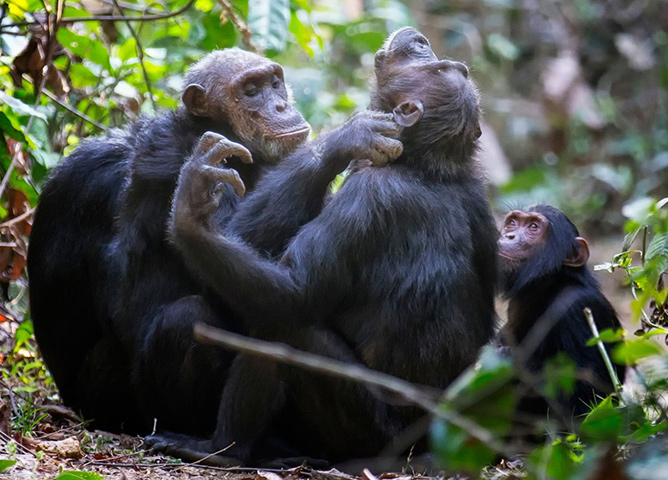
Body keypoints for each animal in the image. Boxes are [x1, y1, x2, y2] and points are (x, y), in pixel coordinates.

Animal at [147, 27, 500, 464]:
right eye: (448, 68)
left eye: (437, 67)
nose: (421, 40)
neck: (422, 165)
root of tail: (416, 449)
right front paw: (355, 136)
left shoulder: (367, 198)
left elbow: (293, 290)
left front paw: (191, 212)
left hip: (365, 433)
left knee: (282, 327)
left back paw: (223, 448)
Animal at [498, 205, 624, 420]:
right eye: (512, 223)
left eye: (533, 227)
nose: (509, 235)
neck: (548, 288)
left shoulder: (576, 308)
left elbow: (587, 401)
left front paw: (506, 359)